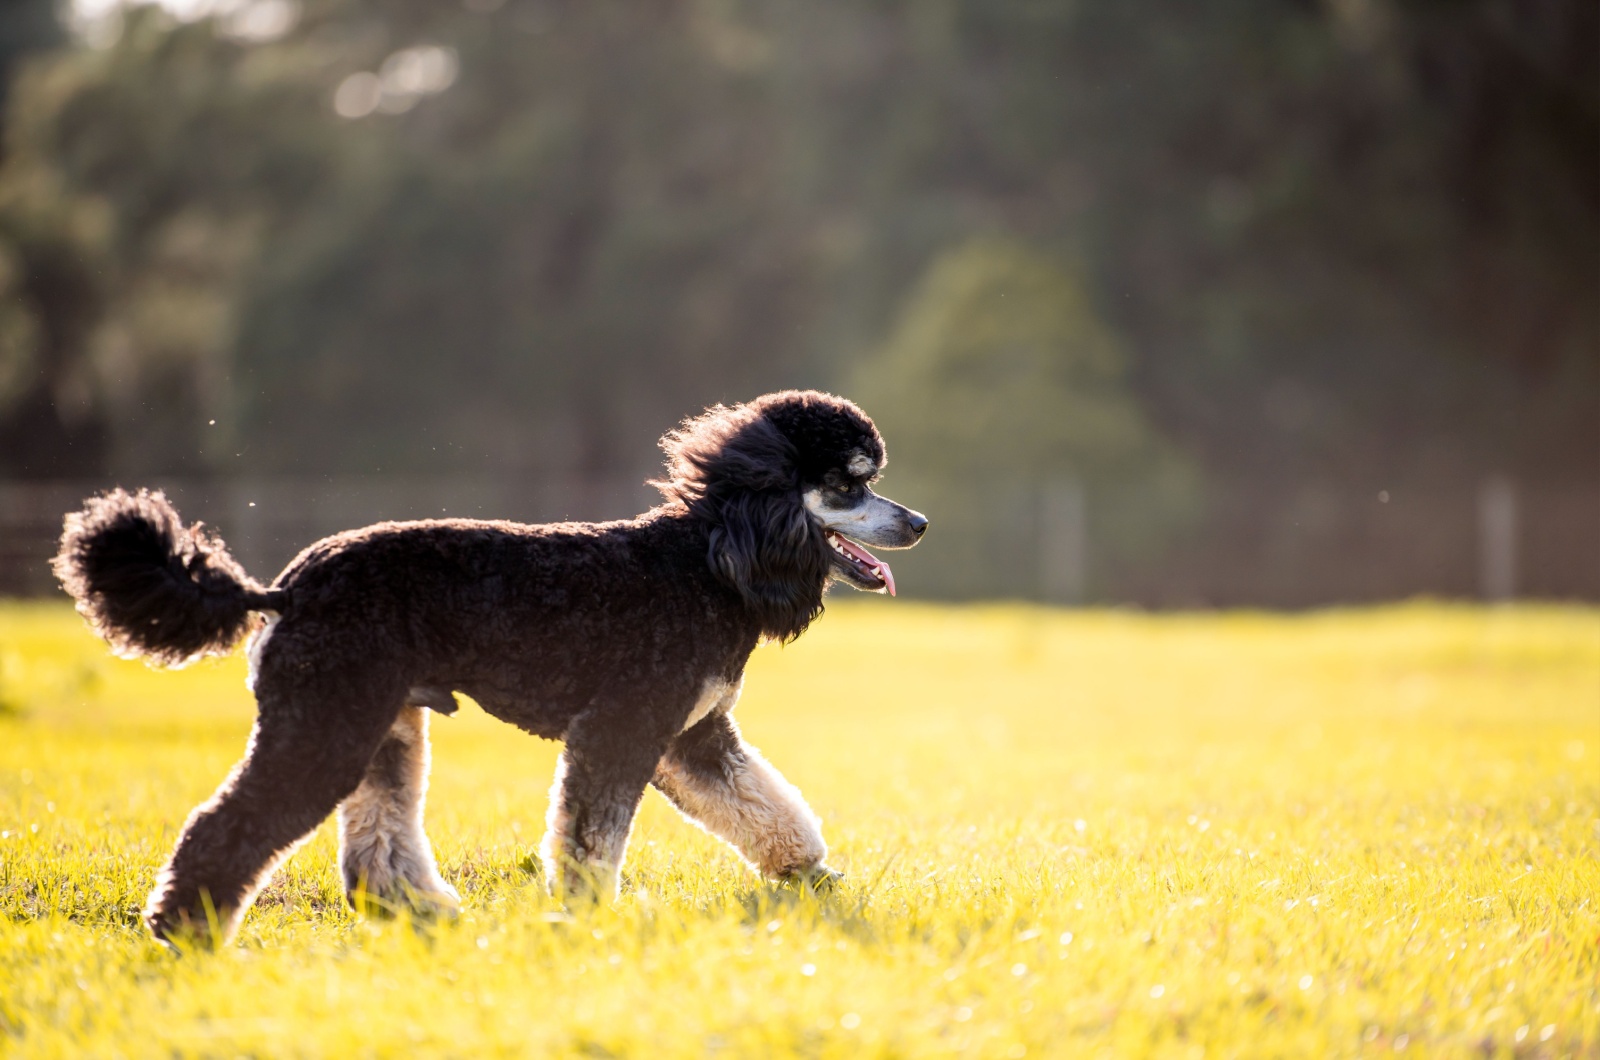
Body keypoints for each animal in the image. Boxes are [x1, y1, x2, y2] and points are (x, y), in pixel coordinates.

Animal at [53, 392, 928, 947]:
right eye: (847, 481)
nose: (917, 522)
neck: (709, 561)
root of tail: (285, 588)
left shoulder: (693, 735)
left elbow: (764, 806)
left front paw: (812, 876)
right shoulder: (622, 728)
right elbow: (589, 841)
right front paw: (587, 919)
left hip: (383, 726)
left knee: (375, 856)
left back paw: (427, 917)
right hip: (325, 722)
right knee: (227, 827)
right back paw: (185, 934)